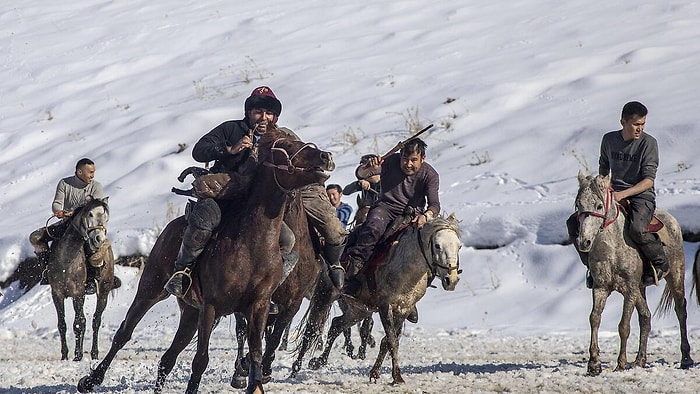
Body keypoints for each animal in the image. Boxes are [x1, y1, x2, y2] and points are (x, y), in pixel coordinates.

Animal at [47, 199, 117, 362]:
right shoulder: (57, 294)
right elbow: (62, 324)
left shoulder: (78, 294)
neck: (66, 260)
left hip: (103, 292)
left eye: (106, 217)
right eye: (90, 214)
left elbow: (79, 324)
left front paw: (78, 355)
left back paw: (94, 353)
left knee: (95, 321)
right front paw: (64, 355)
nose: (99, 239)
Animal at [77, 130, 336, 394]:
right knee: (124, 334)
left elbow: (256, 354)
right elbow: (201, 360)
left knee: (168, 358)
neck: (252, 247)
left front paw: (253, 378)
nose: (325, 156)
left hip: (191, 311)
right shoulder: (211, 306)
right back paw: (90, 380)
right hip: (152, 290)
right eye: (285, 146)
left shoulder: (260, 307)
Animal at [572, 173, 692, 376]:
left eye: (599, 206)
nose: (584, 241)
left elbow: (623, 326)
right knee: (646, 317)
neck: (612, 248)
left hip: (675, 275)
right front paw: (594, 364)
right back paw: (639, 360)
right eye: (578, 205)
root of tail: (672, 221)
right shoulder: (601, 288)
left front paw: (620, 364)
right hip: (640, 288)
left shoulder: (629, 289)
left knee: (680, 311)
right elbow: (594, 319)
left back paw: (686, 359)